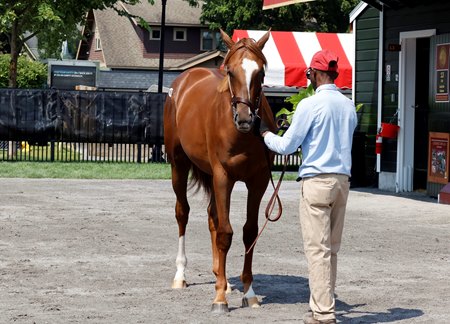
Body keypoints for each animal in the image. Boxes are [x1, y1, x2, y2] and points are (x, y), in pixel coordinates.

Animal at [162, 30, 274, 314]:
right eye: (230, 72)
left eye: (261, 73)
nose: (245, 119)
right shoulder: (224, 177)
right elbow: (225, 233)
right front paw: (220, 299)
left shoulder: (257, 182)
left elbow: (248, 232)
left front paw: (248, 292)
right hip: (179, 166)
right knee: (183, 213)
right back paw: (181, 276)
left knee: (213, 217)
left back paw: (220, 278)